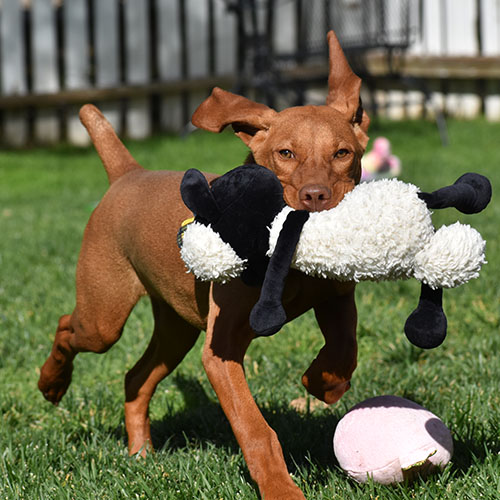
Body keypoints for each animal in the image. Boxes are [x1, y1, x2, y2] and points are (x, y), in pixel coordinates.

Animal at [38, 31, 370, 500]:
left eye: (342, 153)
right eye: (286, 153)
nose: (315, 195)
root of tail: (128, 174)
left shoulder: (336, 296)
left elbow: (345, 348)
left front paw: (320, 382)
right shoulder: (220, 350)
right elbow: (254, 428)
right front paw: (280, 489)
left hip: (175, 328)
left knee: (135, 378)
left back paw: (141, 454)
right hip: (104, 316)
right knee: (69, 326)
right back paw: (52, 383)